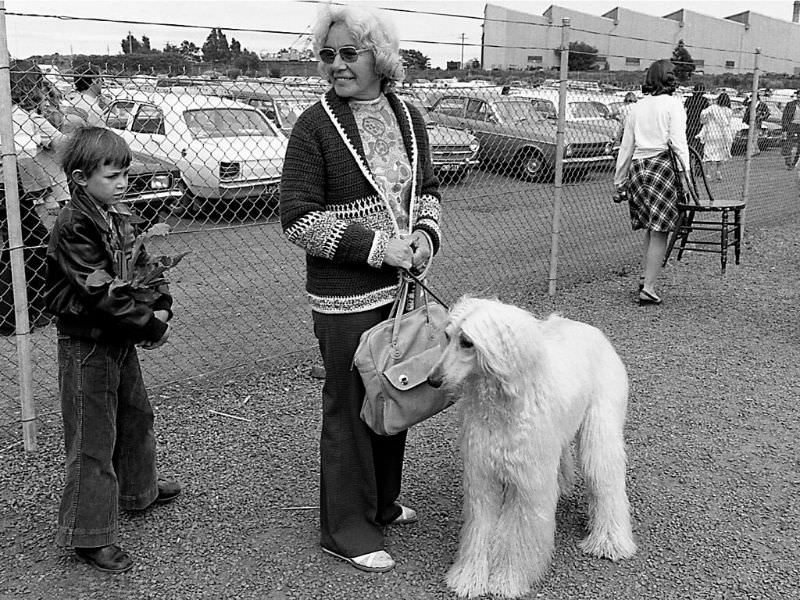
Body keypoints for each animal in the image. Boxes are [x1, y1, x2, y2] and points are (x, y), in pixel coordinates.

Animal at [428, 298, 636, 596]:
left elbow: (517, 534)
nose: (433, 379)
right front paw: (470, 577)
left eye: (467, 342)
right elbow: (480, 528)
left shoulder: (526, 482)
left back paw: (609, 541)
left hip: (600, 428)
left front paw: (507, 580)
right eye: (447, 335)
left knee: (605, 480)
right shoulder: (482, 477)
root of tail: (589, 329)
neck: (502, 404)